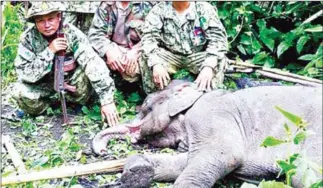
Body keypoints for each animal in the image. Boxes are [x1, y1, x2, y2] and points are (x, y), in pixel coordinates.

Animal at [92, 82, 322, 188]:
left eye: (146, 105)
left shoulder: (209, 113)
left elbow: (226, 155)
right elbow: (188, 161)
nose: (101, 151)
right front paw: (137, 170)